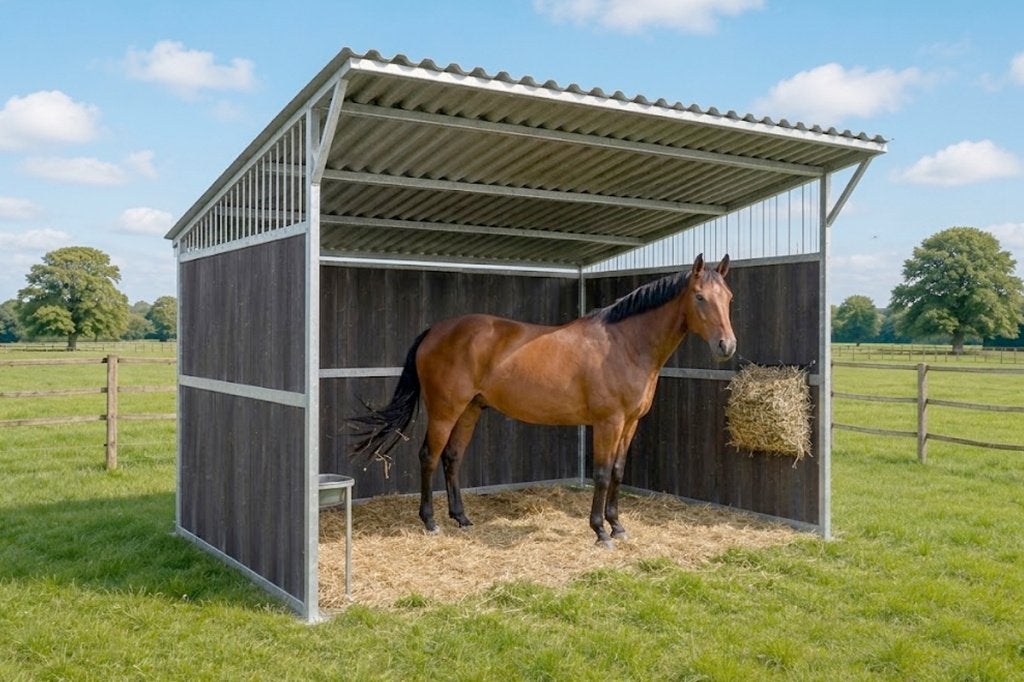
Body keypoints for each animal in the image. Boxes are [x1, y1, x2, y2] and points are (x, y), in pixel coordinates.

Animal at [348, 254, 736, 547]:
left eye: (728, 297)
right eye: (699, 296)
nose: (726, 346)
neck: (625, 344)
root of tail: (435, 330)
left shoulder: (630, 423)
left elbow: (618, 472)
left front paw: (618, 526)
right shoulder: (608, 423)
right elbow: (601, 473)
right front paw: (599, 531)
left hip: (470, 409)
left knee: (452, 457)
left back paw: (462, 518)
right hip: (445, 410)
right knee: (429, 456)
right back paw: (430, 522)